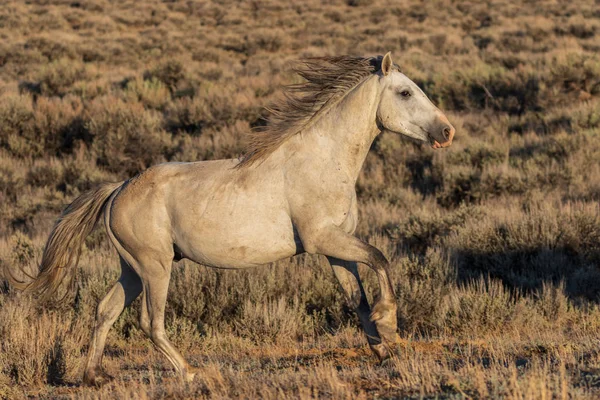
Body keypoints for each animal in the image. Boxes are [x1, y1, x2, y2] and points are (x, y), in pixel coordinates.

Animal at [7, 51, 454, 386]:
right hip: (155, 267)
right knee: (150, 322)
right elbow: (381, 258)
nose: (447, 132)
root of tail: (118, 189)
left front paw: (382, 349)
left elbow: (357, 298)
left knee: (105, 309)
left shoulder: (336, 247)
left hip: (132, 268)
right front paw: (390, 325)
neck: (324, 157)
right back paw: (189, 372)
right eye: (405, 91)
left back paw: (94, 376)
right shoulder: (323, 239)